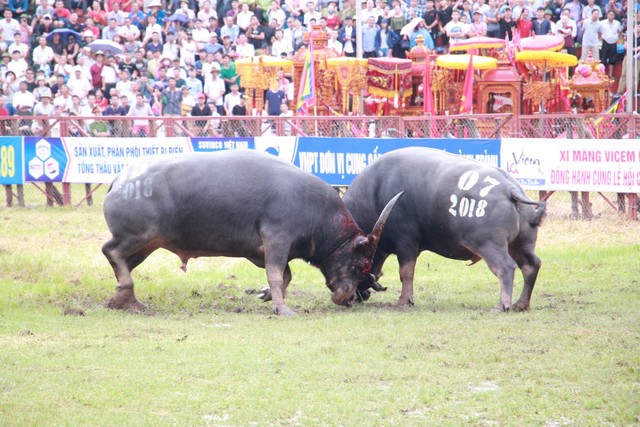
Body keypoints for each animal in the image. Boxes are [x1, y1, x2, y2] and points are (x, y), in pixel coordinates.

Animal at [102, 151, 402, 318]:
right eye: (360, 264)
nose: (349, 297)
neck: (315, 212)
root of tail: (119, 181)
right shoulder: (277, 239)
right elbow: (277, 275)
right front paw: (282, 308)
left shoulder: (260, 251)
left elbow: (285, 276)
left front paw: (266, 295)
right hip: (137, 236)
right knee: (110, 251)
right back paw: (125, 292)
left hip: (147, 244)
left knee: (123, 263)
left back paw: (122, 300)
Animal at [342, 146, 548, 310]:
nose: (357, 296)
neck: (375, 195)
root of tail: (510, 189)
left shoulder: (405, 242)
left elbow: (406, 272)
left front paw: (404, 301)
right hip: (521, 244)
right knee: (531, 266)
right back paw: (521, 304)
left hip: (490, 245)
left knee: (506, 267)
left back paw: (501, 305)